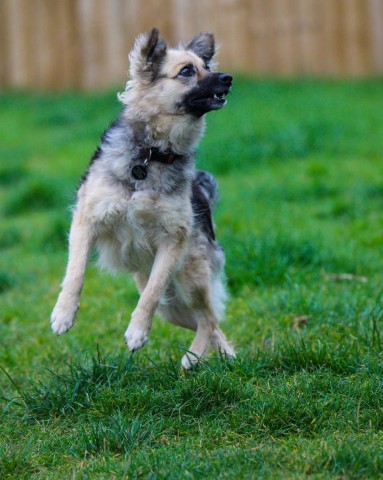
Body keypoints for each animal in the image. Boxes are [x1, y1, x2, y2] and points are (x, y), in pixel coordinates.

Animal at [50, 28, 237, 370]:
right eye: (187, 72)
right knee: (209, 322)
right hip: (172, 307)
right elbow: (76, 272)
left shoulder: (174, 241)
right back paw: (222, 356)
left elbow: (150, 293)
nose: (228, 78)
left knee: (208, 319)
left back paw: (192, 359)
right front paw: (63, 314)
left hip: (189, 279)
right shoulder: (87, 220)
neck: (152, 154)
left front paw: (137, 331)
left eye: (207, 66)